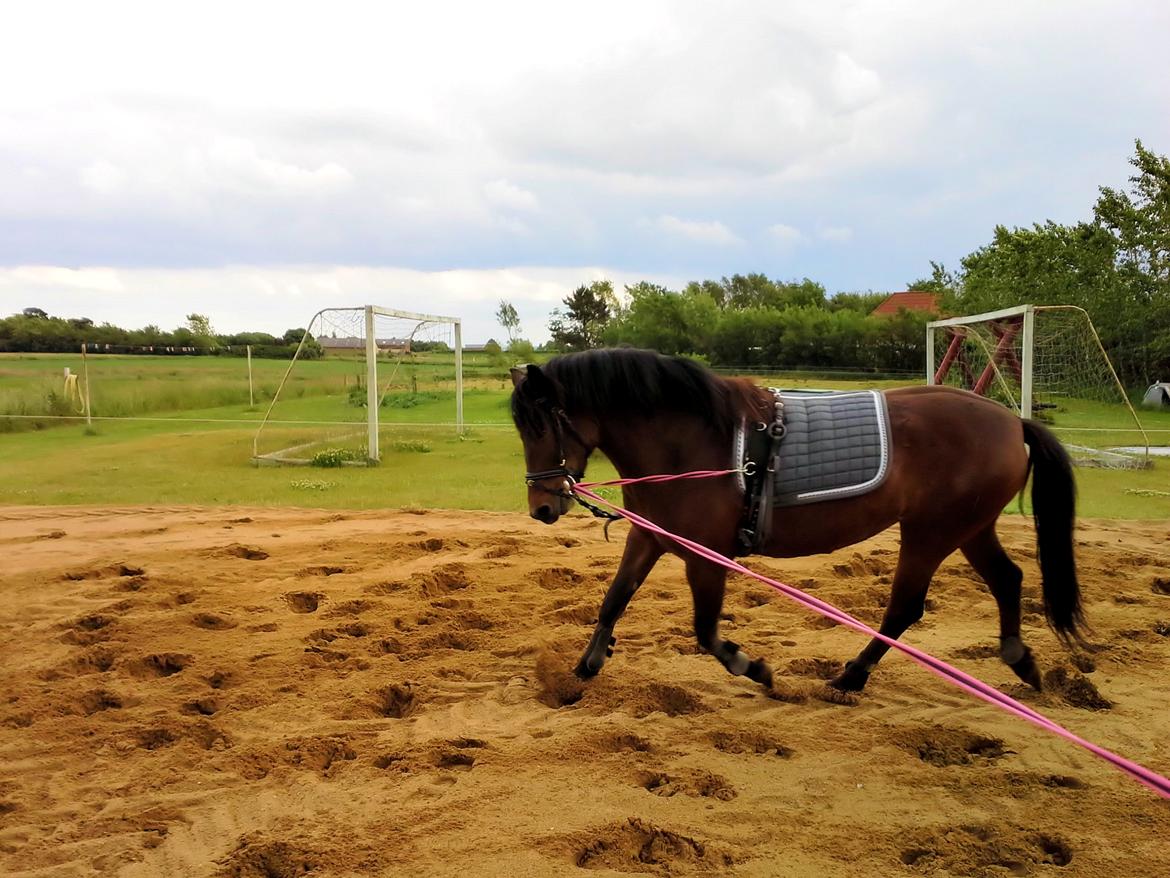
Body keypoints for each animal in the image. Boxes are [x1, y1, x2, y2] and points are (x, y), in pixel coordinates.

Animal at [510, 347, 1083, 693]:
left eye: (540, 423)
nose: (542, 507)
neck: (692, 441)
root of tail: (1012, 421)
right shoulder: (650, 537)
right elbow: (614, 597)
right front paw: (586, 664)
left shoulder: (705, 555)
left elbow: (704, 630)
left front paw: (754, 668)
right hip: (970, 529)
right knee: (1008, 579)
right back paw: (1020, 660)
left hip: (932, 533)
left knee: (904, 608)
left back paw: (851, 677)